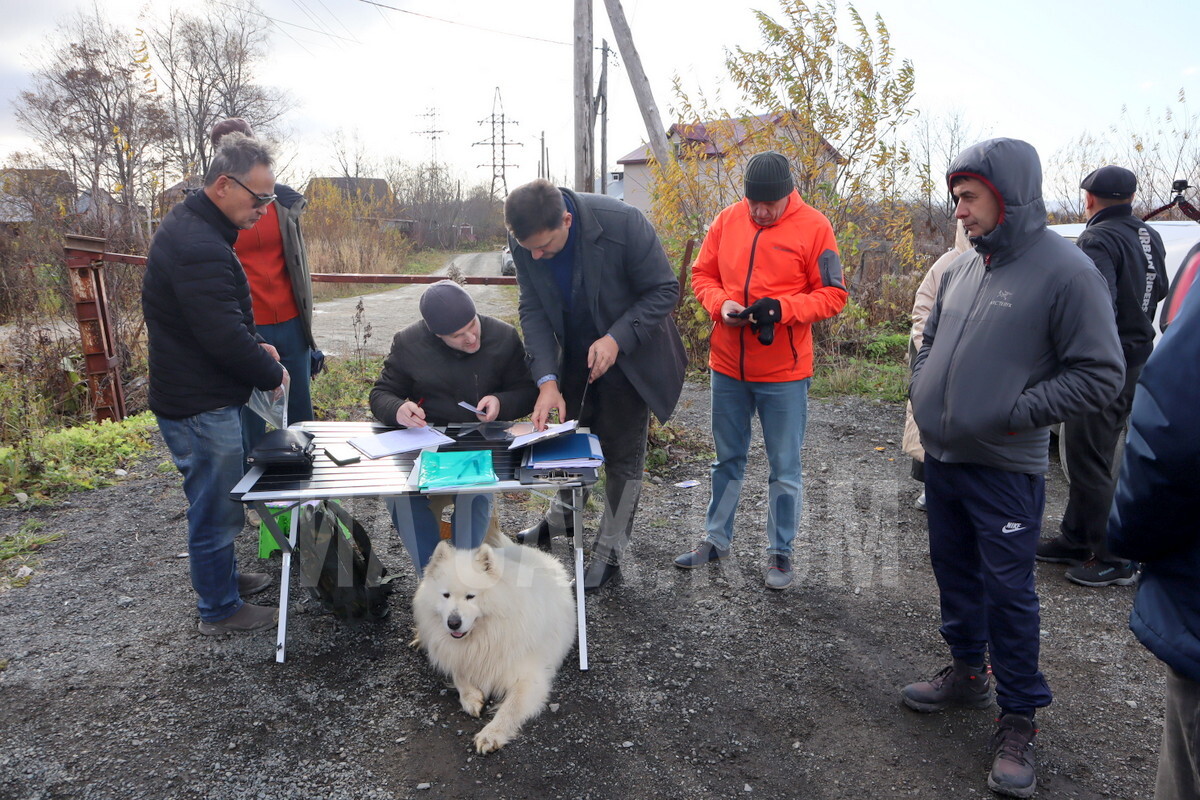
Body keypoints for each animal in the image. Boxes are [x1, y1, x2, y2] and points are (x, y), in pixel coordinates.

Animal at [412, 537, 576, 753]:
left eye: (471, 596)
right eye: (445, 595)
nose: (453, 623)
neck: (486, 637)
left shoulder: (529, 679)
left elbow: (510, 708)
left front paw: (491, 734)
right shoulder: (459, 655)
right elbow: (459, 674)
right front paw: (470, 697)